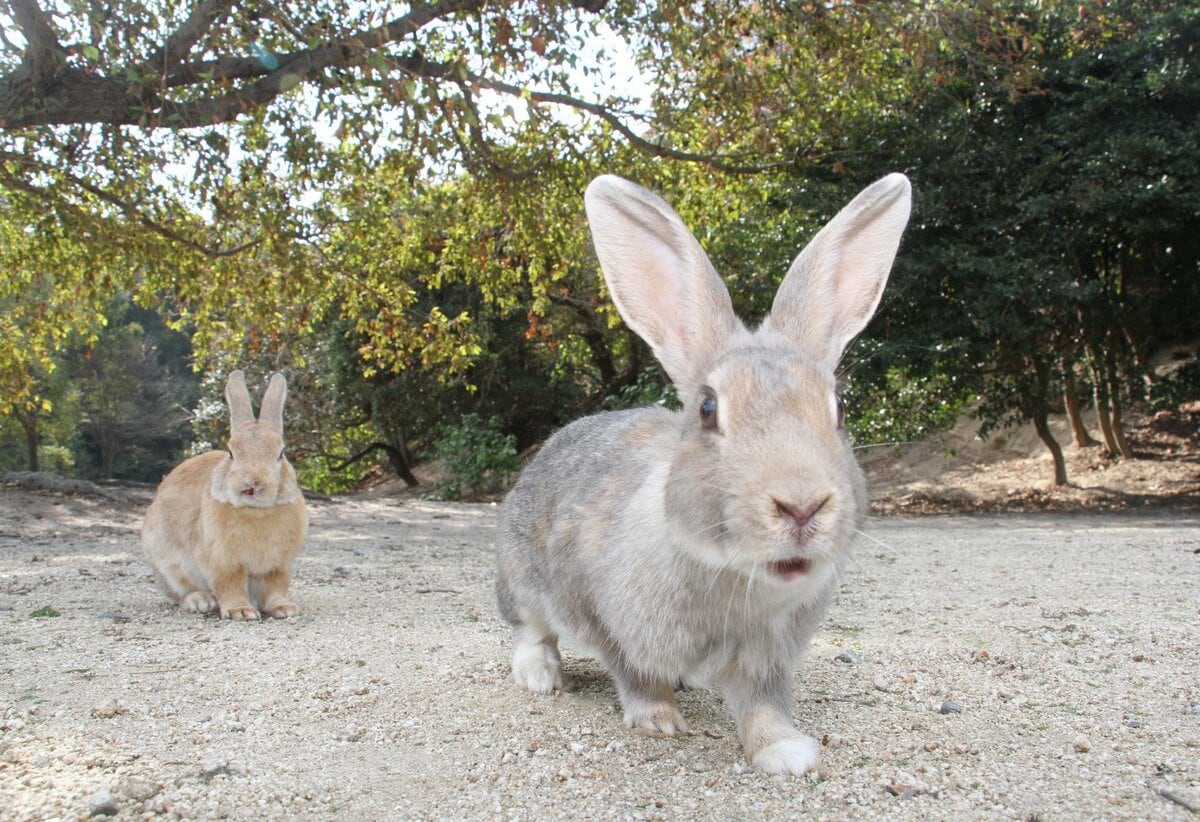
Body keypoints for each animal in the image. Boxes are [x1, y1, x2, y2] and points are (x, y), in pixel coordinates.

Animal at [496, 170, 907, 772]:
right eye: (708, 408)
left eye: (840, 408)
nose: (801, 505)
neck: (736, 576)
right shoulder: (613, 625)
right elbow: (636, 677)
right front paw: (659, 722)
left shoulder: (767, 660)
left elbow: (763, 706)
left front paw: (786, 753)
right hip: (521, 577)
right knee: (532, 630)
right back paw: (541, 677)